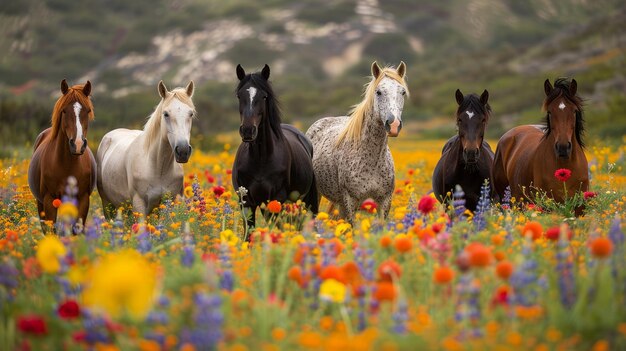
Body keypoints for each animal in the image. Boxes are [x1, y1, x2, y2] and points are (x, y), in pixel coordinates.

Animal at [28, 78, 96, 230]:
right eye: (64, 111)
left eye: (88, 110)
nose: (77, 144)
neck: (68, 165)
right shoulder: (49, 200)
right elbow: (51, 229)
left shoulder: (83, 199)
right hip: (40, 203)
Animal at [97, 80, 195, 217]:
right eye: (166, 114)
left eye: (191, 113)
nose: (183, 151)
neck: (158, 167)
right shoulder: (139, 204)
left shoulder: (170, 203)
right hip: (108, 205)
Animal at [230, 64, 316, 232]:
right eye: (239, 96)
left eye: (264, 96)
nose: (248, 131)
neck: (260, 159)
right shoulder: (247, 203)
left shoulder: (276, 200)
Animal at [304, 60, 408, 223]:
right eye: (378, 92)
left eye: (402, 92)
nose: (394, 125)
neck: (373, 161)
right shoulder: (350, 202)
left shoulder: (384, 202)